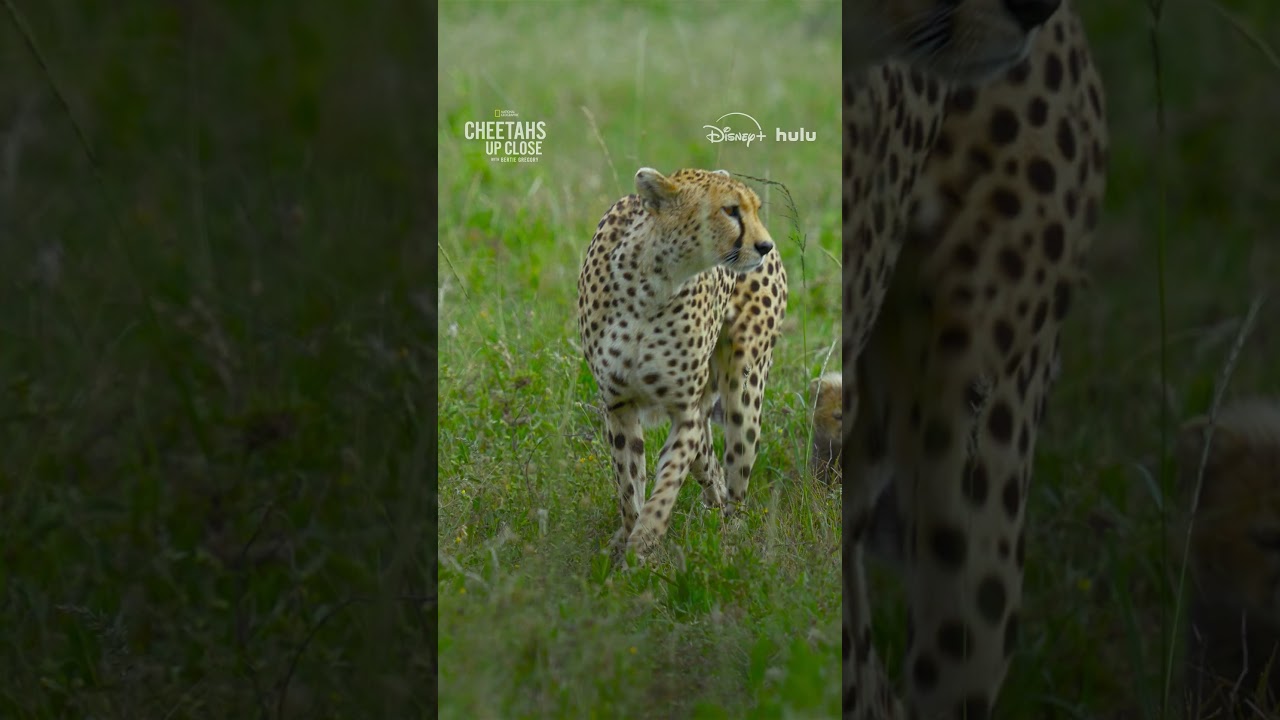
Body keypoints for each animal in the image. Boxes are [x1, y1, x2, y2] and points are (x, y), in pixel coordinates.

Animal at [576, 167, 787, 563]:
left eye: (755, 209)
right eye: (731, 210)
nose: (764, 246)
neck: (653, 283)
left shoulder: (685, 409)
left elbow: (668, 482)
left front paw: (643, 543)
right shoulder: (618, 405)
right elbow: (629, 483)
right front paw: (628, 542)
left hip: (743, 393)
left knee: (735, 477)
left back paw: (731, 534)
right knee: (709, 463)